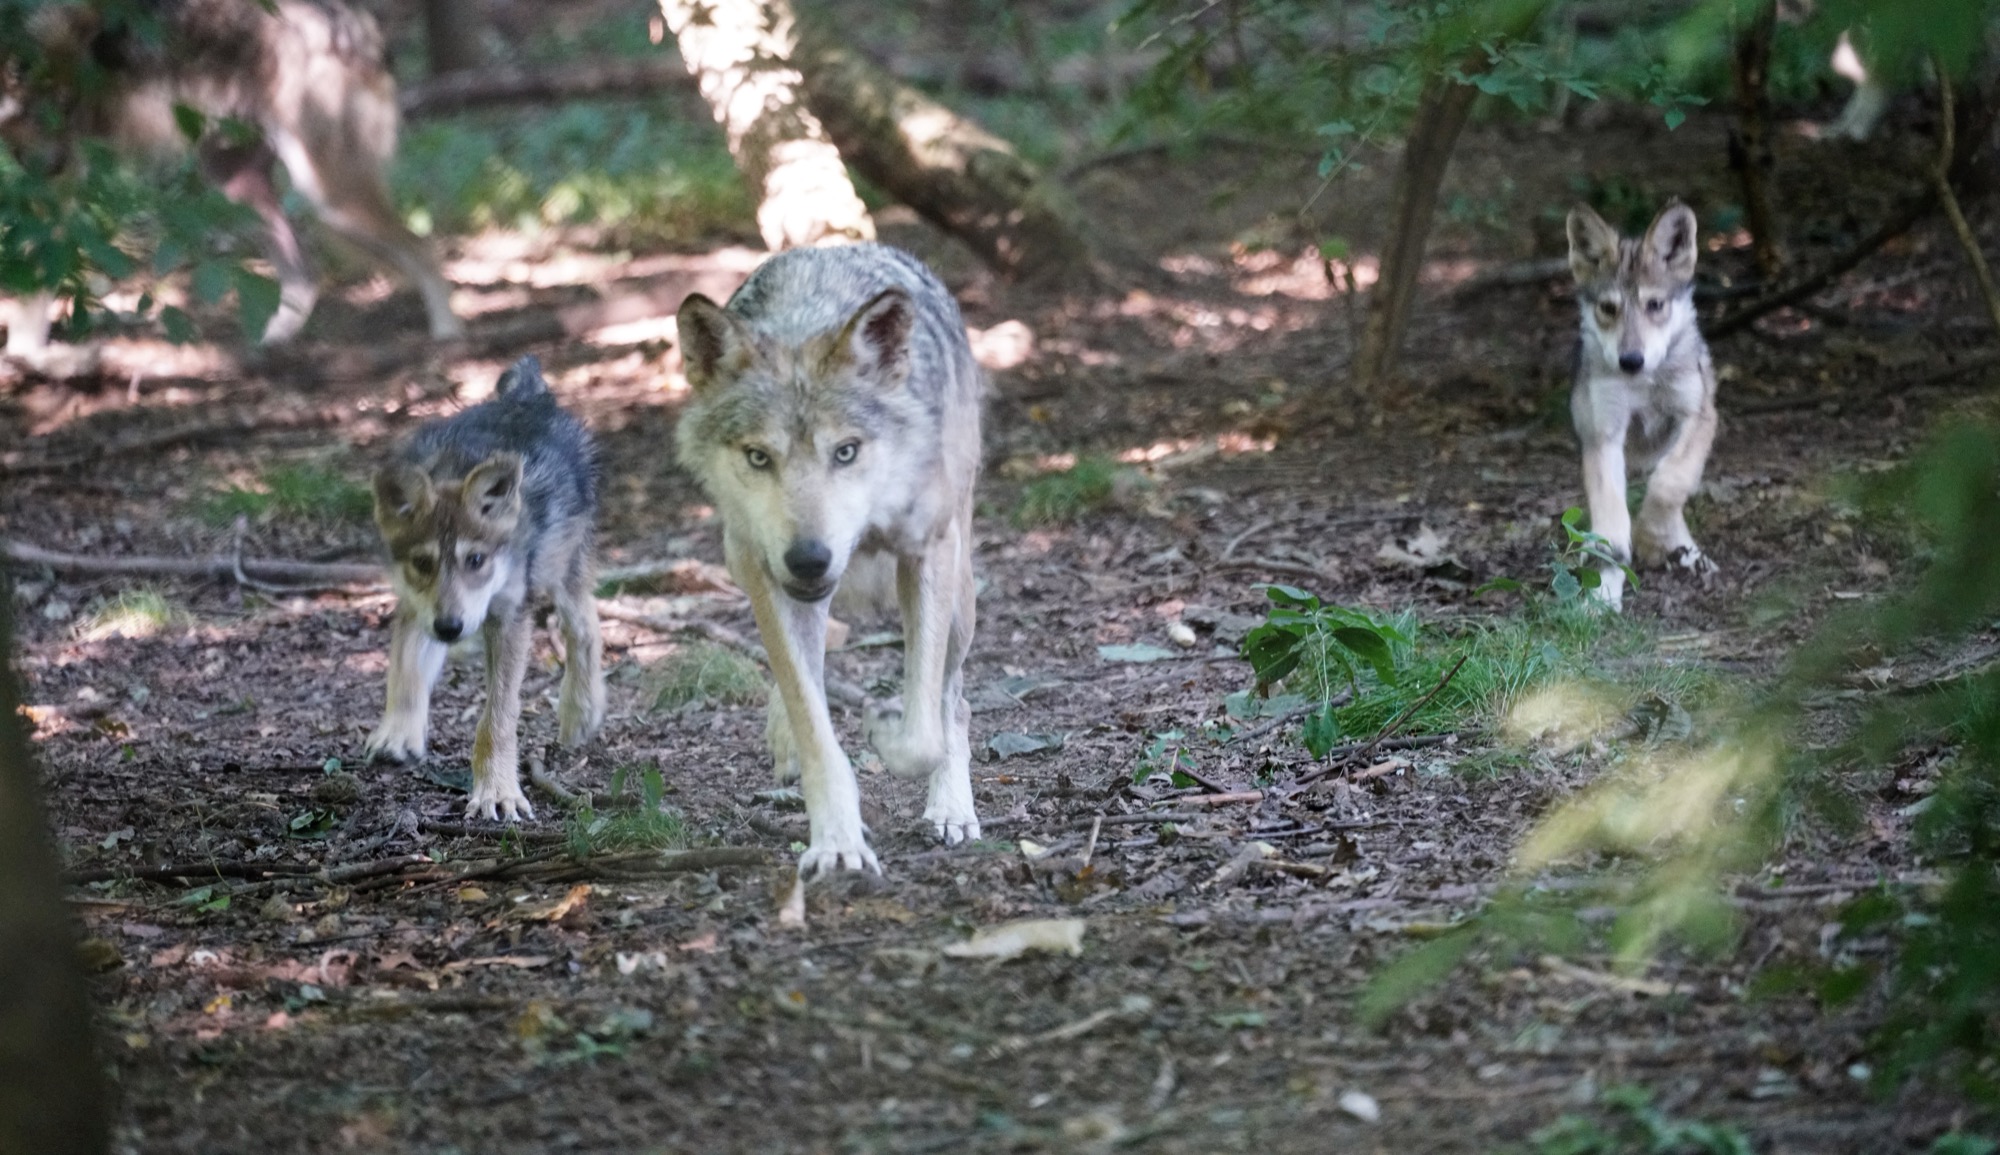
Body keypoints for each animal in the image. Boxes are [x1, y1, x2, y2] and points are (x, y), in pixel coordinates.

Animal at [1, 0, 462, 357]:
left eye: (64, 105)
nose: (52, 165)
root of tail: (357, 21)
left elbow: (31, 280)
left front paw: (25, 357)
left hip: (327, 197)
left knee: (423, 249)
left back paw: (448, 338)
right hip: (236, 186)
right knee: (305, 273)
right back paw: (271, 341)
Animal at [365, 356, 603, 821]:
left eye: (475, 561)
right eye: (423, 563)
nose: (451, 628)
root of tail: (526, 396)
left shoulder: (510, 618)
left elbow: (497, 718)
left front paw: (497, 791)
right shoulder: (417, 606)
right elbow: (404, 671)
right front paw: (398, 734)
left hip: (559, 572)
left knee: (585, 625)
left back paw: (580, 714)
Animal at [674, 243, 984, 877]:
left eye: (846, 451)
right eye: (758, 457)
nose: (809, 559)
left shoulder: (928, 554)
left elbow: (923, 732)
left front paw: (885, 732)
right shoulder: (765, 572)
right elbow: (815, 725)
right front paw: (838, 842)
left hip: (962, 597)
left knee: (954, 702)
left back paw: (951, 810)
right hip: (744, 559)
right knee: (804, 672)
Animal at [1565, 201, 1721, 611]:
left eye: (1655, 305)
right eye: (1608, 308)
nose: (1631, 361)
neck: (1645, 382)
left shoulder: (1697, 416)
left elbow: (1669, 484)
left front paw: (1652, 539)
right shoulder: (1604, 436)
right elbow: (1612, 531)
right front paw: (1602, 595)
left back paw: (1688, 555)